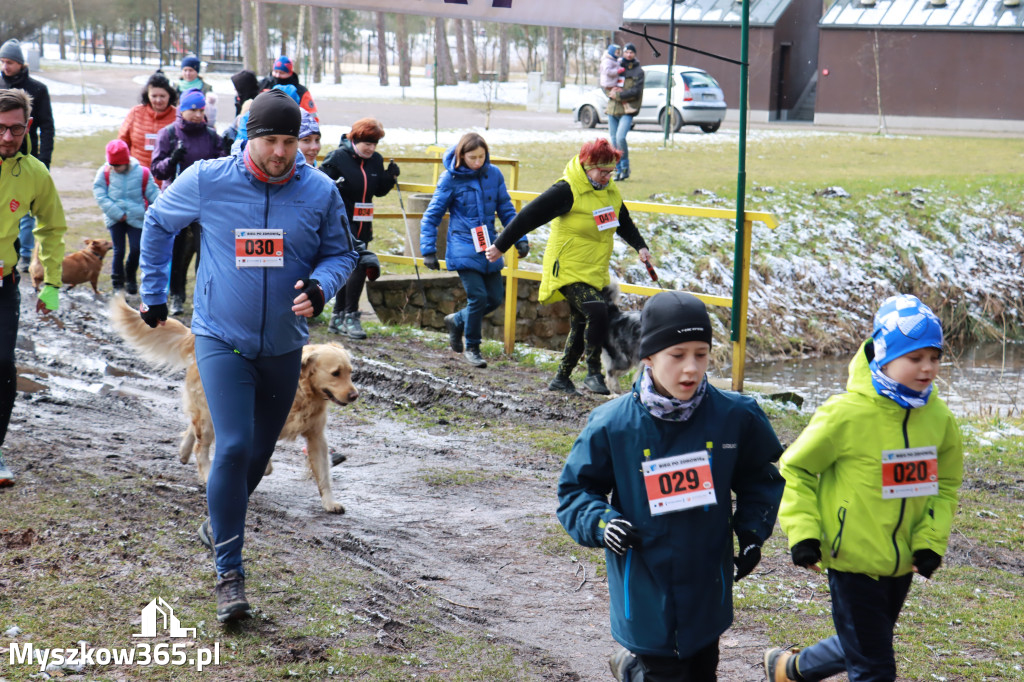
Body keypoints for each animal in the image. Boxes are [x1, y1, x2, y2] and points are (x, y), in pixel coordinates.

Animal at [110, 292, 358, 509]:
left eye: (350, 372)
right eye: (335, 373)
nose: (355, 395)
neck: (303, 392)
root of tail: (196, 336)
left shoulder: (316, 436)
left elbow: (323, 473)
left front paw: (330, 503)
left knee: (192, 428)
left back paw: (183, 451)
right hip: (212, 413)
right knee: (201, 446)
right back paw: (205, 473)